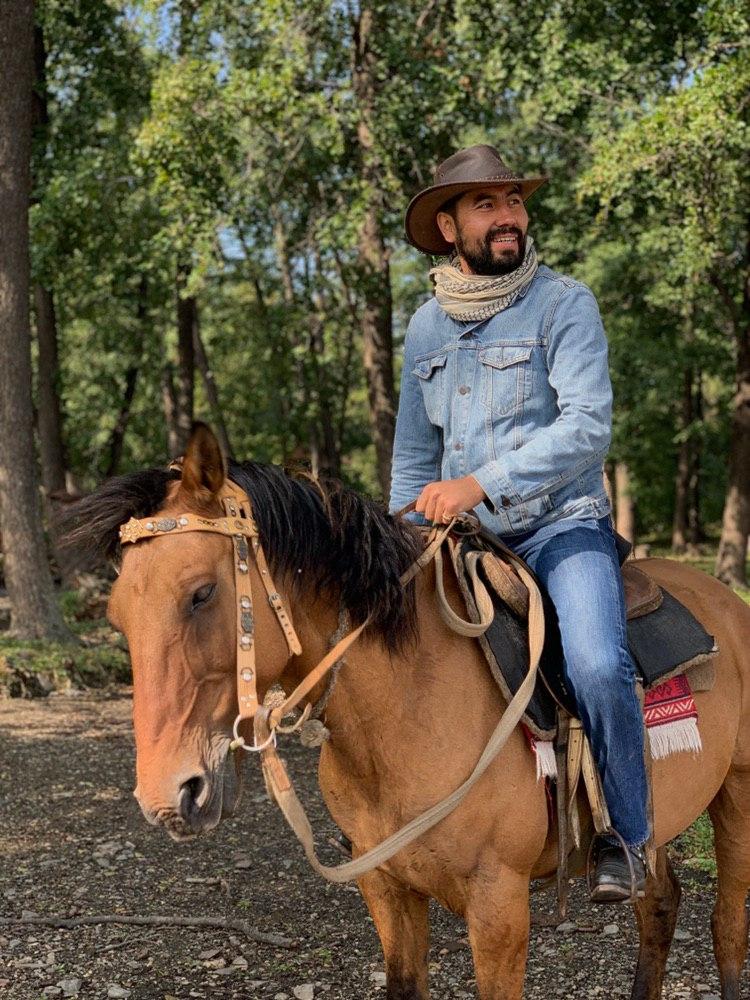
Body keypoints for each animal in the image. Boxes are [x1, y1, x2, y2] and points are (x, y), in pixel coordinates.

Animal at [69, 428, 750, 1000]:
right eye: (116, 616)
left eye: (202, 594)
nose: (167, 796)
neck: (405, 710)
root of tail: (726, 600)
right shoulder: (387, 888)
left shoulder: (499, 904)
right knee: (661, 906)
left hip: (735, 797)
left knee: (727, 928)